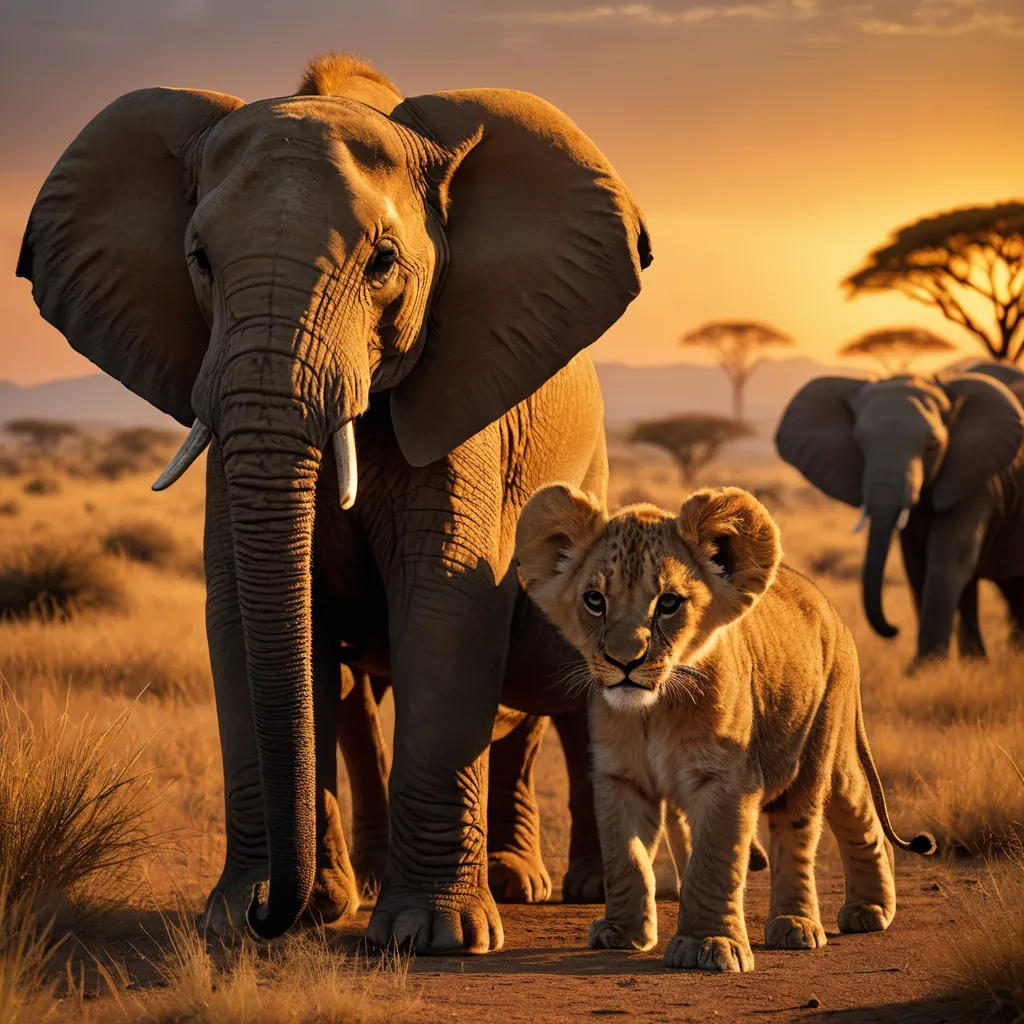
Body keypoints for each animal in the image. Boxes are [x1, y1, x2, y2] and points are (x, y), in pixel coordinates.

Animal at [515, 484, 936, 973]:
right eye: (595, 600)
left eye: (669, 603)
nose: (624, 661)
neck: (653, 711)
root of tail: (829, 606)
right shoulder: (620, 777)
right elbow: (627, 857)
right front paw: (621, 932)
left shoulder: (726, 778)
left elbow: (714, 861)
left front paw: (708, 945)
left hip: (817, 748)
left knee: (819, 823)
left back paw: (822, 920)